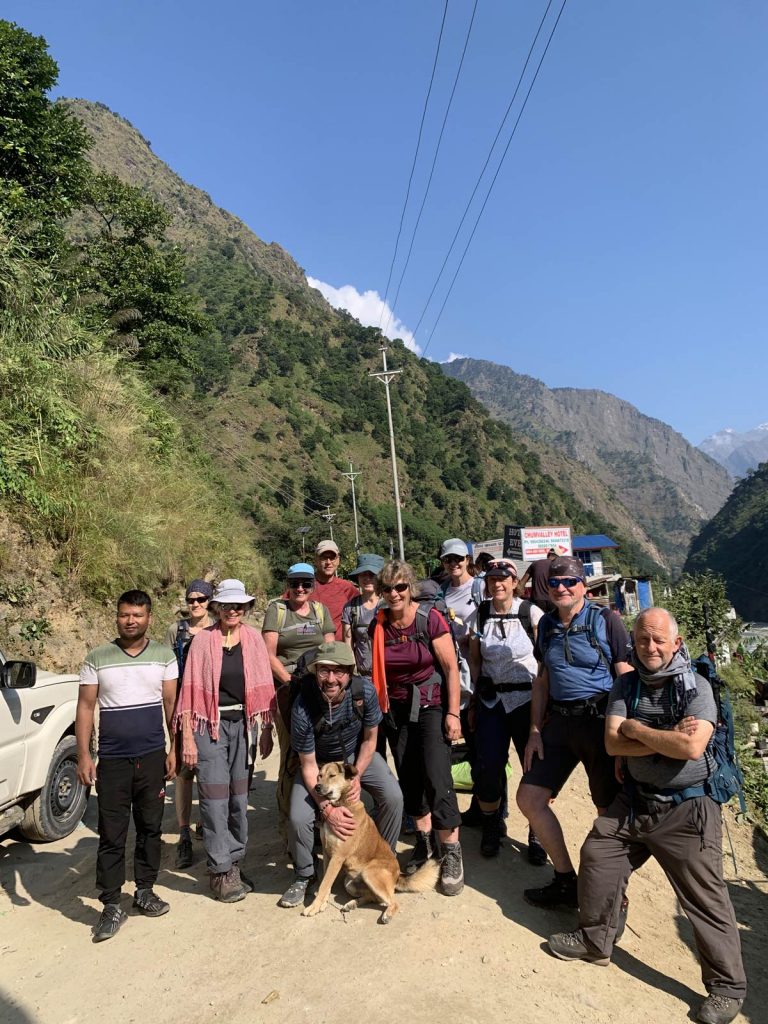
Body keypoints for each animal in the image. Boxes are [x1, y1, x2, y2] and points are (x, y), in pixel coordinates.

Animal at [303, 761, 438, 921]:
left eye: (332, 776)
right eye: (319, 776)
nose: (316, 787)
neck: (343, 804)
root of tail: (397, 875)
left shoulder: (337, 857)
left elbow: (324, 884)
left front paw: (314, 906)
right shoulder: (327, 853)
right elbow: (325, 881)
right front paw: (321, 904)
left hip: (370, 874)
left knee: (393, 901)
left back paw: (387, 914)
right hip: (350, 884)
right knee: (374, 897)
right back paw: (352, 904)